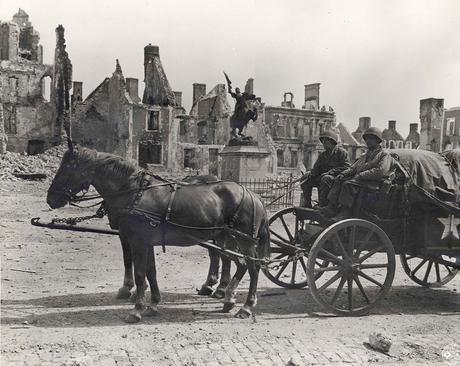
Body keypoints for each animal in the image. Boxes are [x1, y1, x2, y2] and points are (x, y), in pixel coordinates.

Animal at [46, 144, 270, 322]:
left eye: (67, 169)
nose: (50, 199)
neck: (135, 192)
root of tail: (253, 195)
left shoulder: (137, 241)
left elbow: (139, 274)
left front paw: (136, 309)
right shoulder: (145, 242)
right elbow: (150, 272)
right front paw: (152, 304)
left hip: (243, 241)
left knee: (253, 268)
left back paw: (245, 306)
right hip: (229, 239)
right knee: (238, 264)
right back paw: (228, 297)